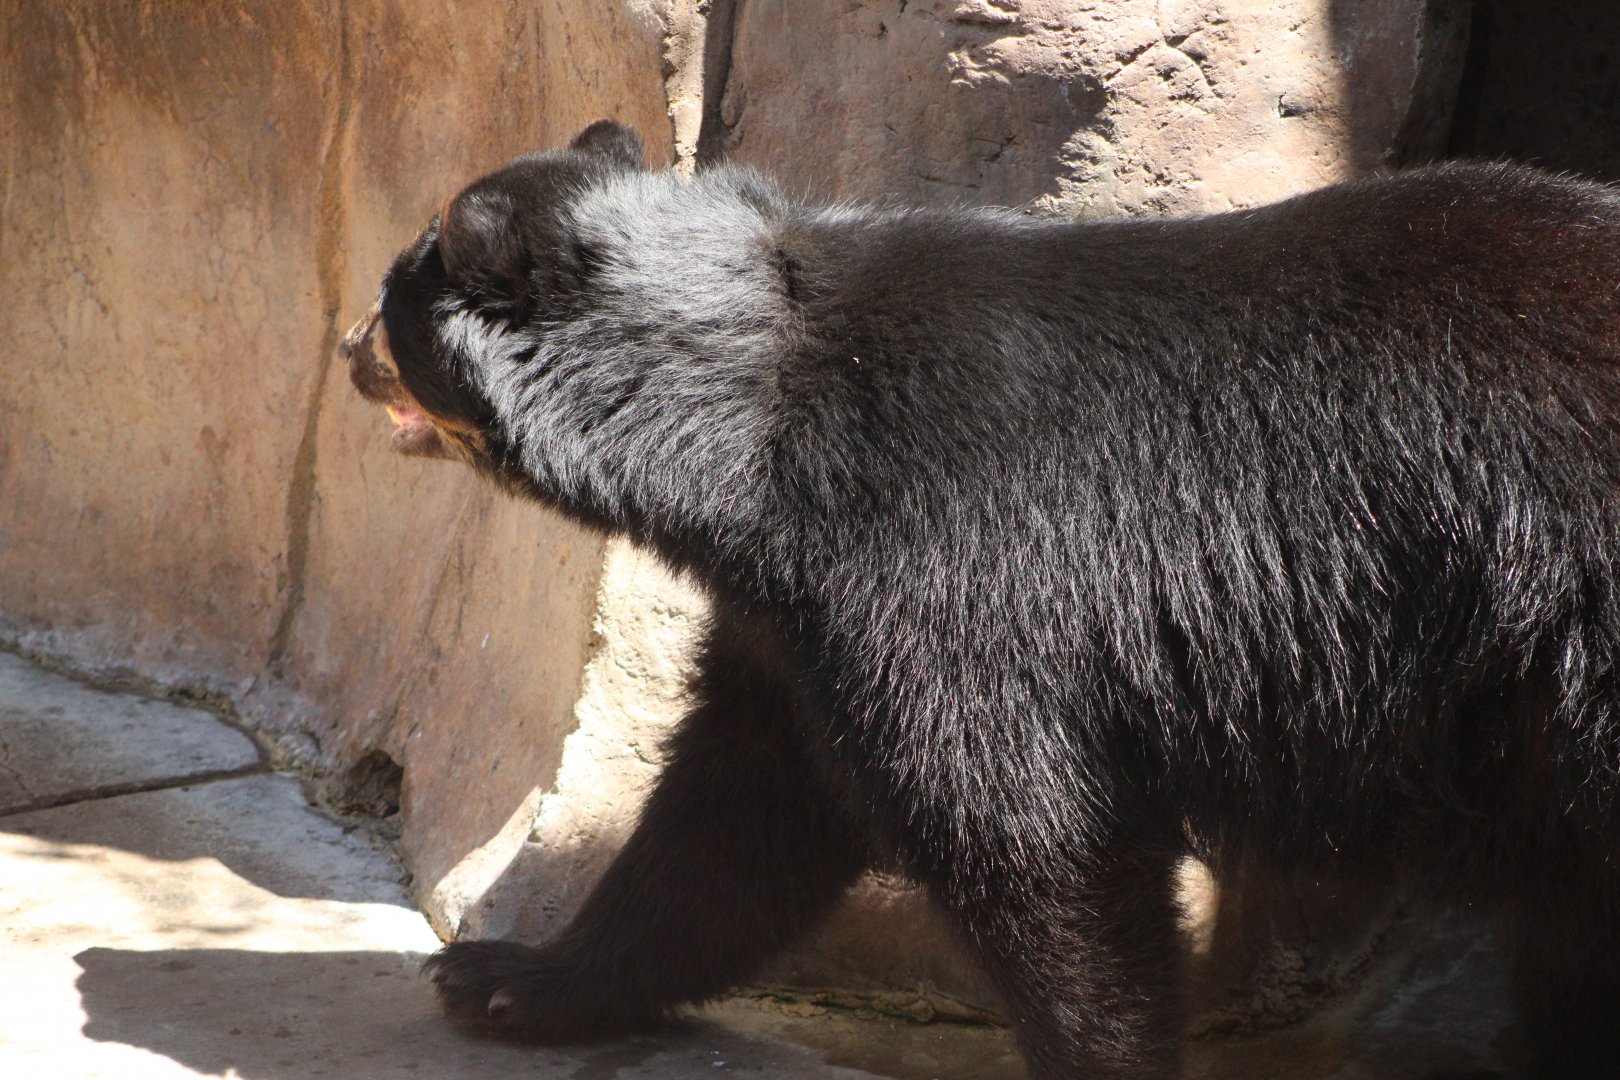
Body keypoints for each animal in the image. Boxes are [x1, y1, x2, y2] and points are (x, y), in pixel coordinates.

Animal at [341, 120, 1620, 1079]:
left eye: (396, 306)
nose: (347, 343)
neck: (747, 423)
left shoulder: (952, 564)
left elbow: (1024, 837)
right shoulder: (793, 619)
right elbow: (737, 812)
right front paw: (507, 980)